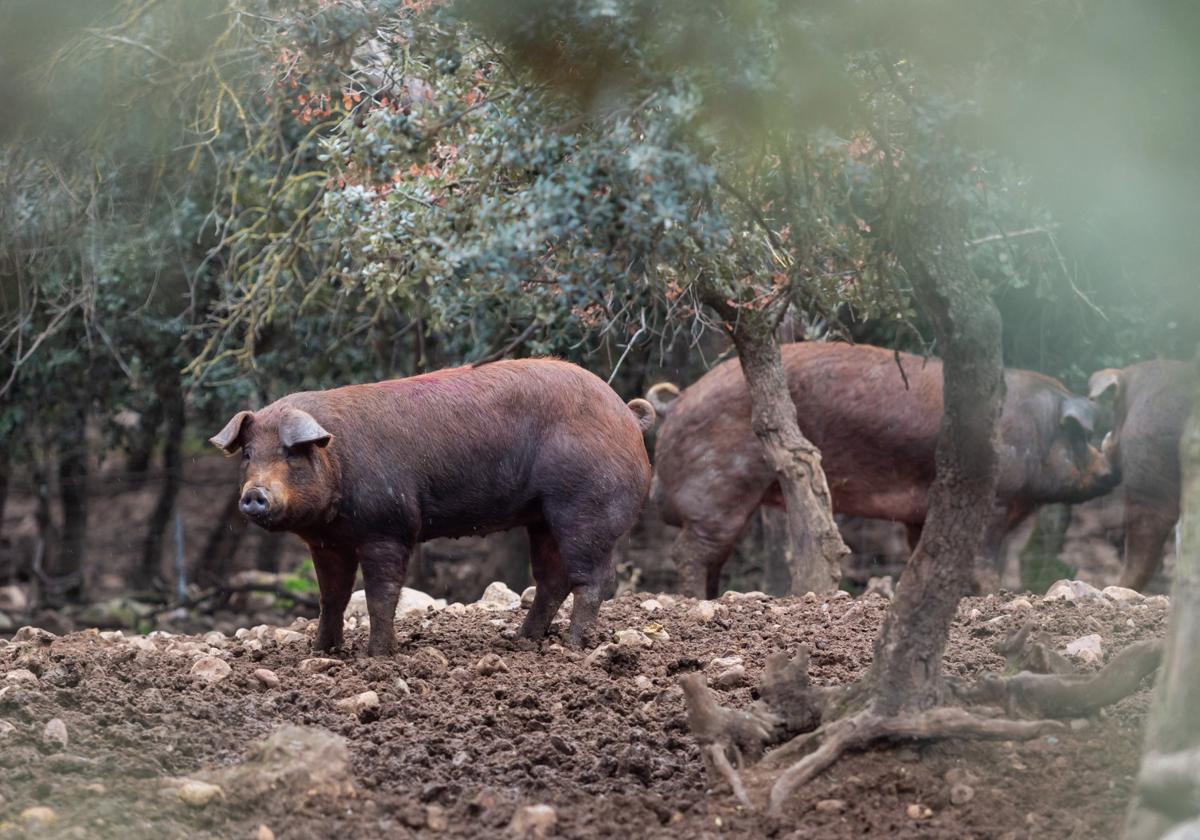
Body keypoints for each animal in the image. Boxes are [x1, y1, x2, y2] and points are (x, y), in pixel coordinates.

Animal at [208, 357, 657, 652]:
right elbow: (331, 596)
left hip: (587, 506)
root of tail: (627, 415)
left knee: (592, 579)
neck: (337, 459)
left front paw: (379, 655)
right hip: (542, 517)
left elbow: (380, 595)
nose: (254, 494)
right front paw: (322, 652)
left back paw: (574, 647)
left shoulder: (387, 528)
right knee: (552, 579)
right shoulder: (328, 542)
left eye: (291, 453)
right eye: (247, 453)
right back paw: (521, 642)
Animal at [652, 340, 1118, 597]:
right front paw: (999, 593)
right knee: (687, 553)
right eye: (1084, 437)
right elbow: (984, 559)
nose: (1112, 472)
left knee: (710, 557)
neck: (1038, 433)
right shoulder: (996, 500)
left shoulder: (922, 511)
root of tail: (677, 402)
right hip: (719, 490)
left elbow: (923, 551)